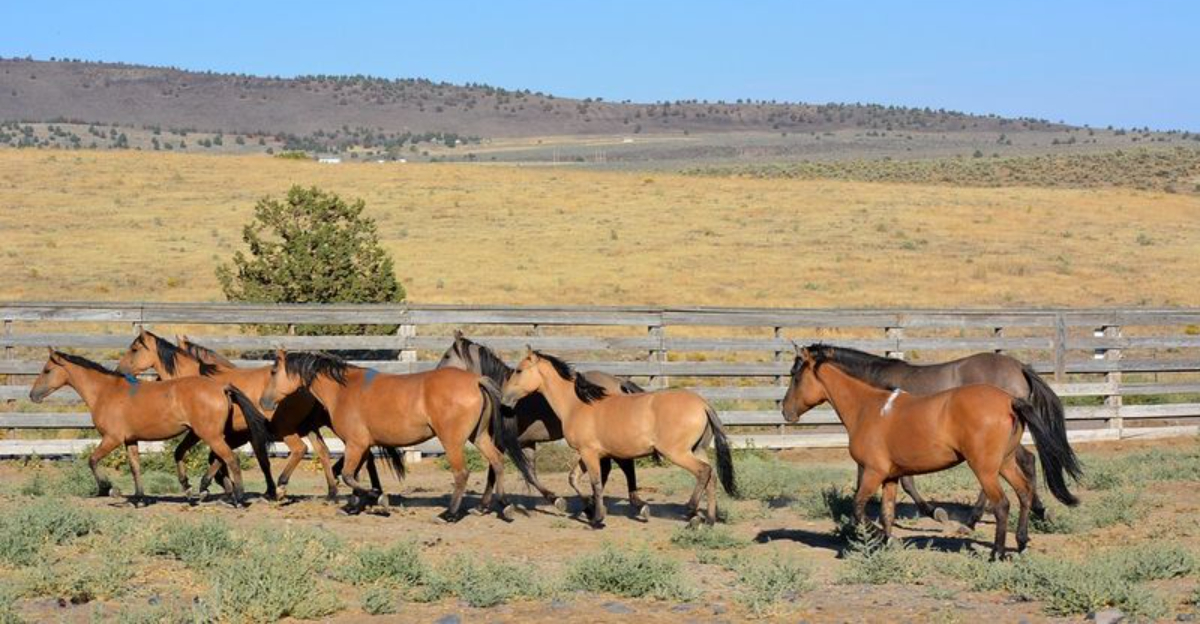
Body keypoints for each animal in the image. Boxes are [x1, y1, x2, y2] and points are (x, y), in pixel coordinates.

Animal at [29, 349, 272, 507]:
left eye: (47, 370)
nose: (33, 395)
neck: (105, 392)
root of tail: (221, 387)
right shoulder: (130, 440)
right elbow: (135, 467)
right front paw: (139, 499)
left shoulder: (112, 438)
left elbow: (93, 460)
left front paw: (109, 489)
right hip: (202, 434)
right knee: (216, 459)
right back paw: (199, 490)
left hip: (209, 434)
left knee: (230, 459)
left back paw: (237, 498)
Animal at [259, 349, 525, 520]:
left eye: (273, 372)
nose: (264, 402)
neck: (343, 390)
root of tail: (476, 380)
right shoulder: (361, 445)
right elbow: (356, 475)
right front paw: (353, 506)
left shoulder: (355, 444)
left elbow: (348, 475)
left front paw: (378, 499)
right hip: (478, 437)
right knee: (497, 462)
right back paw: (499, 506)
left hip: (452, 441)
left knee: (462, 473)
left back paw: (449, 514)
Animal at [437, 331, 650, 517]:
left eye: (447, 355)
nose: (436, 375)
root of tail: (619, 382)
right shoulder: (527, 443)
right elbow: (530, 473)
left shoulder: (501, 441)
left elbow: (495, 472)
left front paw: (484, 507)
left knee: (623, 465)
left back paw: (633, 505)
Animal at [500, 347, 736, 527]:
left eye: (519, 370)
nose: (504, 399)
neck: (576, 405)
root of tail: (703, 404)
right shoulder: (592, 453)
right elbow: (574, 478)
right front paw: (588, 509)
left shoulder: (589, 452)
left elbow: (595, 482)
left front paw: (597, 518)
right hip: (697, 449)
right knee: (712, 477)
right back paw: (709, 520)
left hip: (677, 452)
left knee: (703, 472)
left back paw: (690, 511)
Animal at [782, 344, 1081, 559]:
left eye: (795, 376)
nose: (785, 411)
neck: (869, 404)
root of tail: (1011, 397)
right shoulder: (890, 474)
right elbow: (887, 511)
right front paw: (885, 541)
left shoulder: (875, 470)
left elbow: (861, 506)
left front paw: (877, 536)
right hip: (1003, 462)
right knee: (1024, 487)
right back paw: (1023, 539)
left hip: (983, 466)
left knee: (1003, 502)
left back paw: (993, 547)